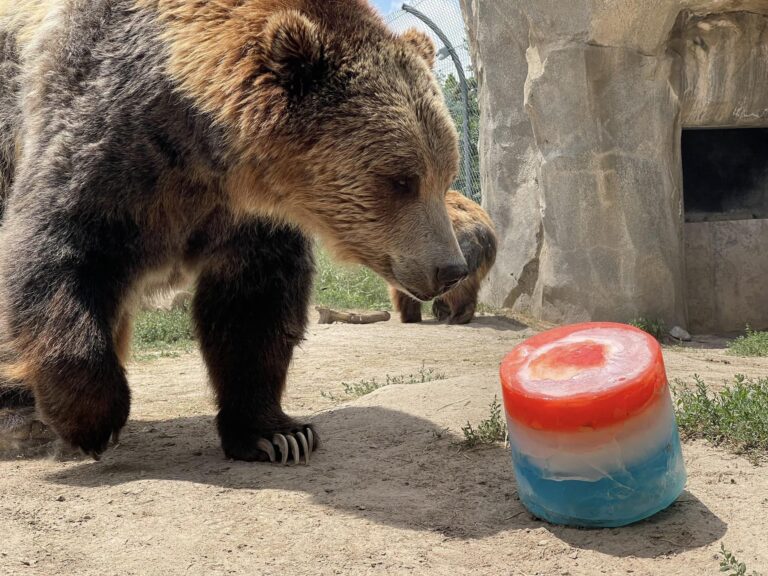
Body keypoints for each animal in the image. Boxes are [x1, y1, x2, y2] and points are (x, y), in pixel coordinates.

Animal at [0, 0, 468, 463]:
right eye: (401, 180)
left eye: (445, 175)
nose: (451, 268)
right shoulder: (109, 145)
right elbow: (57, 251)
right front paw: (92, 423)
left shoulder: (247, 219)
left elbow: (252, 308)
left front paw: (278, 435)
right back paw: (21, 418)